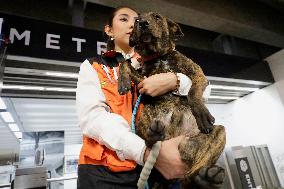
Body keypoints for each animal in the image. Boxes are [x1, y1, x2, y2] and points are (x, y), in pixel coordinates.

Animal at [116, 12, 225, 188]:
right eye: (137, 20)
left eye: (157, 17)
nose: (143, 23)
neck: (159, 57)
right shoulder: (144, 81)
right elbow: (124, 62)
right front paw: (123, 82)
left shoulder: (198, 74)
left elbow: (193, 92)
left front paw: (201, 112)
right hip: (144, 116)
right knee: (149, 142)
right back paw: (154, 134)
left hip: (217, 133)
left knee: (195, 171)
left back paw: (208, 178)